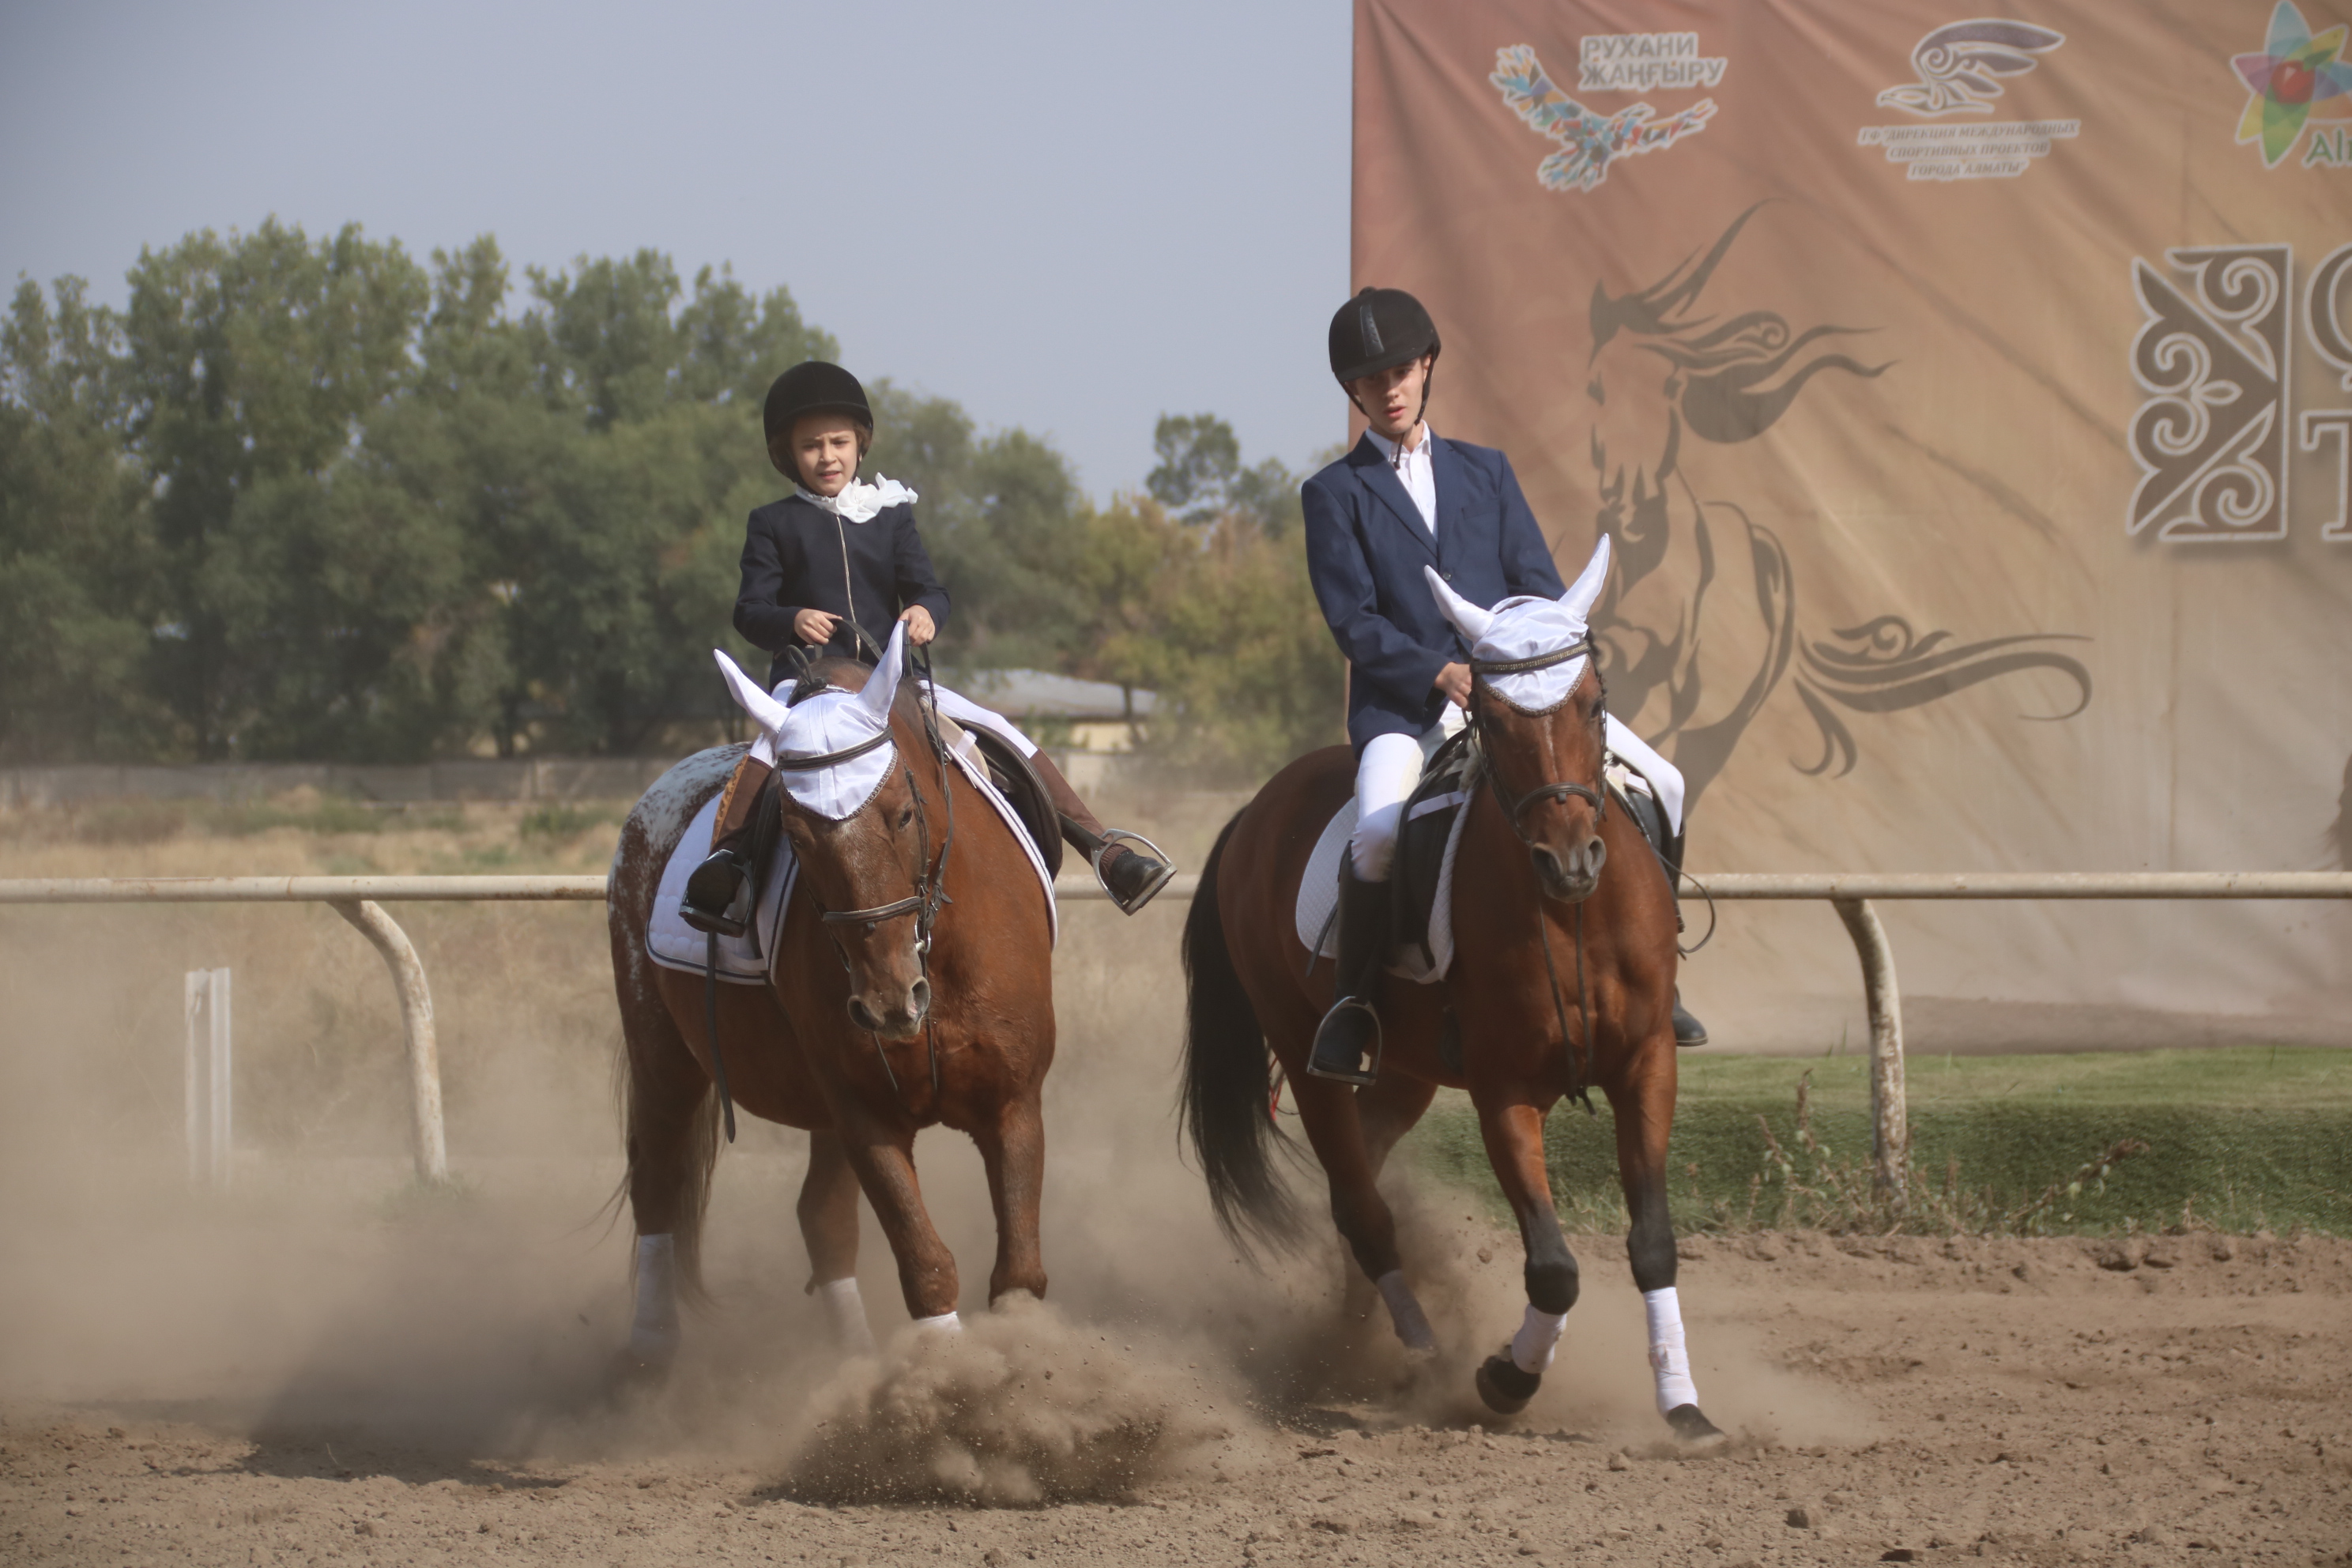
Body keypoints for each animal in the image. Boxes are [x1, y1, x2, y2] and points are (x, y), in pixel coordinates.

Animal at [606, 625, 1058, 1373]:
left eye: (902, 813)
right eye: (792, 831)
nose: (887, 1003)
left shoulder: (1013, 1102)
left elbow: (1018, 1274)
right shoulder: (863, 1112)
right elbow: (927, 1268)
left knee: (819, 1217)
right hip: (662, 1054)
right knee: (657, 1182)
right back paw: (649, 1352)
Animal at [1185, 543, 1721, 1448]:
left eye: (1592, 702)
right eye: (1495, 720)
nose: (1570, 861)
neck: (1570, 918)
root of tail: (1256, 808)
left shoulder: (1648, 1063)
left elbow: (1652, 1241)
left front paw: (1683, 1406)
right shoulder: (1505, 1088)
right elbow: (1553, 1269)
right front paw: (1505, 1378)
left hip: (1403, 1075)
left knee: (1363, 1179)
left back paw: (1357, 1340)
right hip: (1303, 1050)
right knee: (1360, 1205)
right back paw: (1418, 1347)